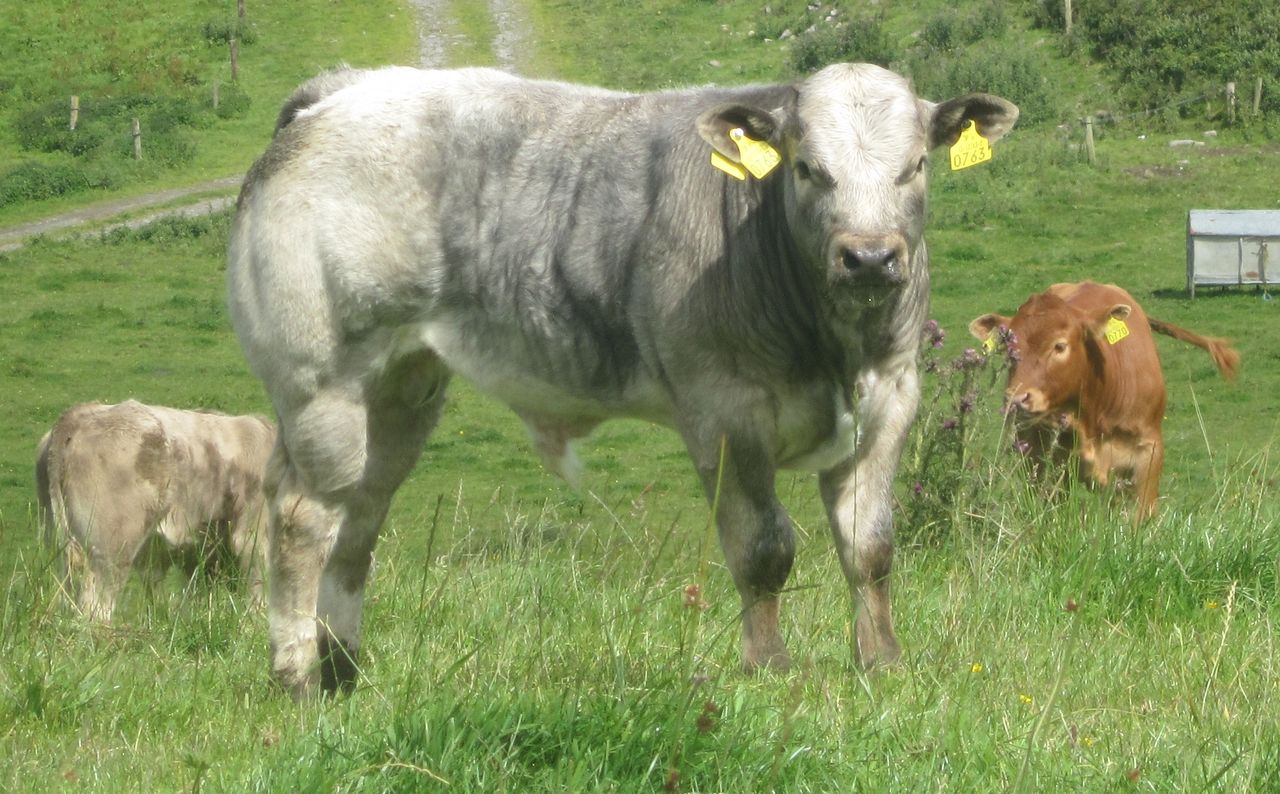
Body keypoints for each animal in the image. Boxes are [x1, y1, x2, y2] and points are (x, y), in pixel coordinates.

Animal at [35, 400, 276, 622]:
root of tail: (80, 413)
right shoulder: (253, 539)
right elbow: (259, 595)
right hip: (110, 550)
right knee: (95, 607)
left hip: (58, 545)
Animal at [227, 63, 1018, 697]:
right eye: (806, 168)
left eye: (915, 167)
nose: (869, 258)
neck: (834, 349)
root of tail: (344, 89)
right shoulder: (725, 413)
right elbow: (765, 548)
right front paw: (768, 668)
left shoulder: (890, 400)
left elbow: (870, 547)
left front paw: (882, 662)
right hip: (323, 385)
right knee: (303, 518)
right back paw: (297, 677)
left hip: (400, 389)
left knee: (361, 516)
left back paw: (341, 672)